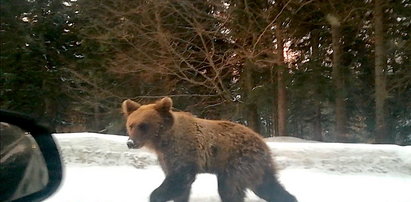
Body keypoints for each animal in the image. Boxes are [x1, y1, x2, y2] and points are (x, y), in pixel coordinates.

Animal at [120, 97, 298, 201]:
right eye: (131, 124)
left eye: (143, 125)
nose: (130, 142)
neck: (163, 141)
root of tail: (262, 141)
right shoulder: (166, 158)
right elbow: (180, 186)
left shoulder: (184, 152)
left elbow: (179, 179)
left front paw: (155, 195)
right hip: (255, 167)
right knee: (267, 185)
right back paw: (290, 197)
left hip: (238, 162)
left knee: (229, 189)